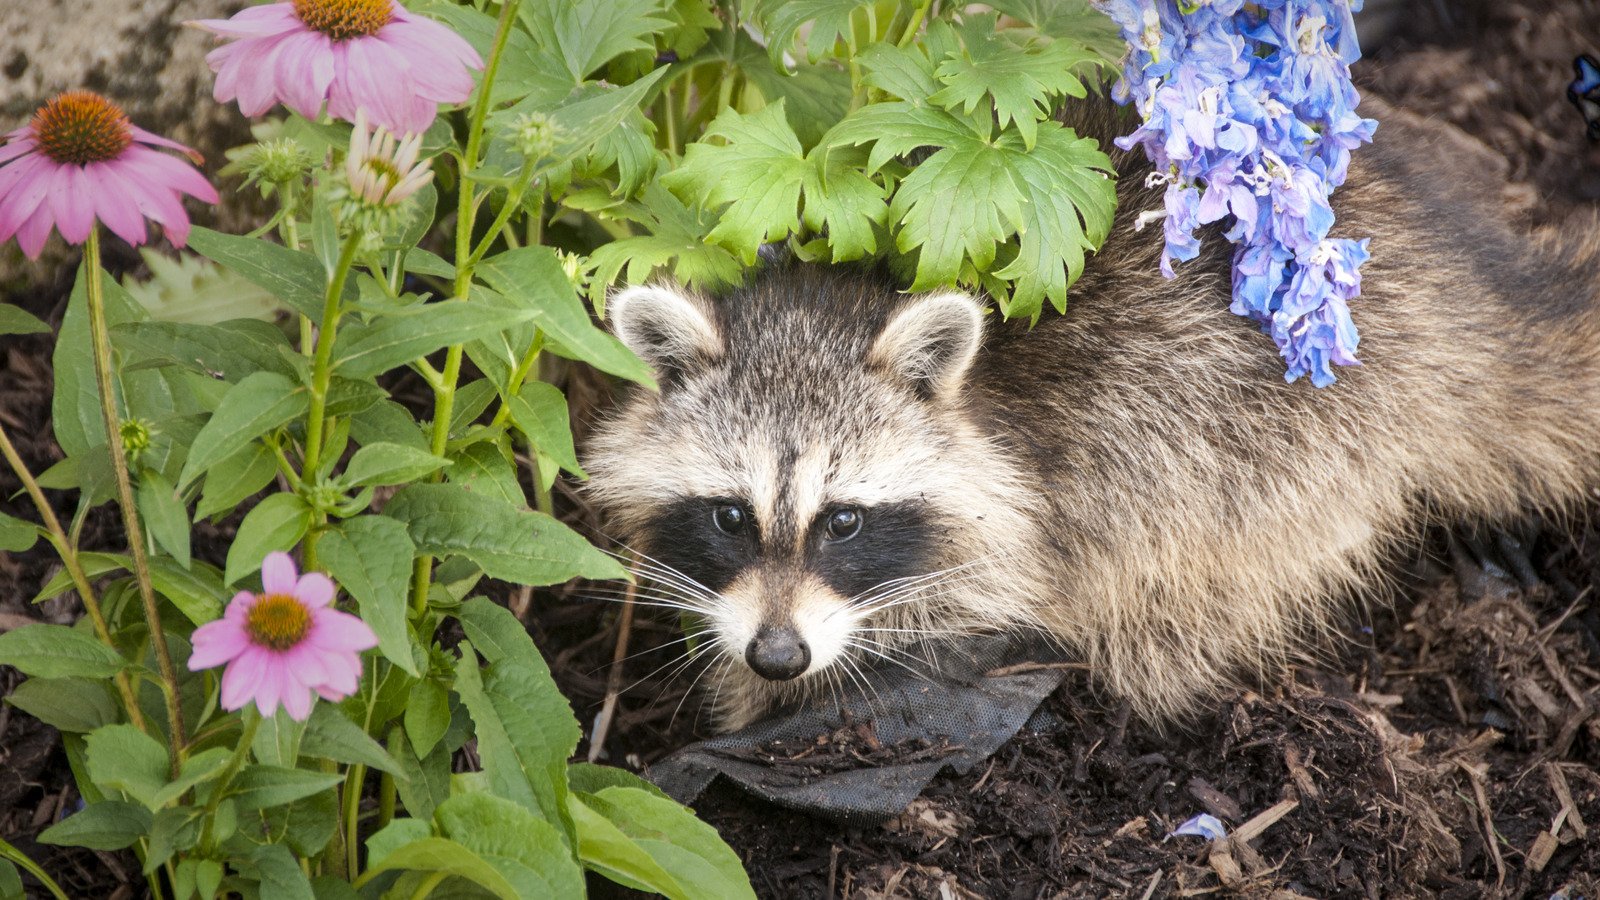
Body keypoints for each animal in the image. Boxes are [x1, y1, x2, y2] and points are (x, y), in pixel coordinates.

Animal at [582, 96, 1600, 730]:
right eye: (730, 514)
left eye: (843, 522)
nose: (778, 656)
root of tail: (1457, 295)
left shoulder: (1044, 499)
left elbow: (975, 597)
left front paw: (775, 694)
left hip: (1281, 440)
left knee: (1190, 580)